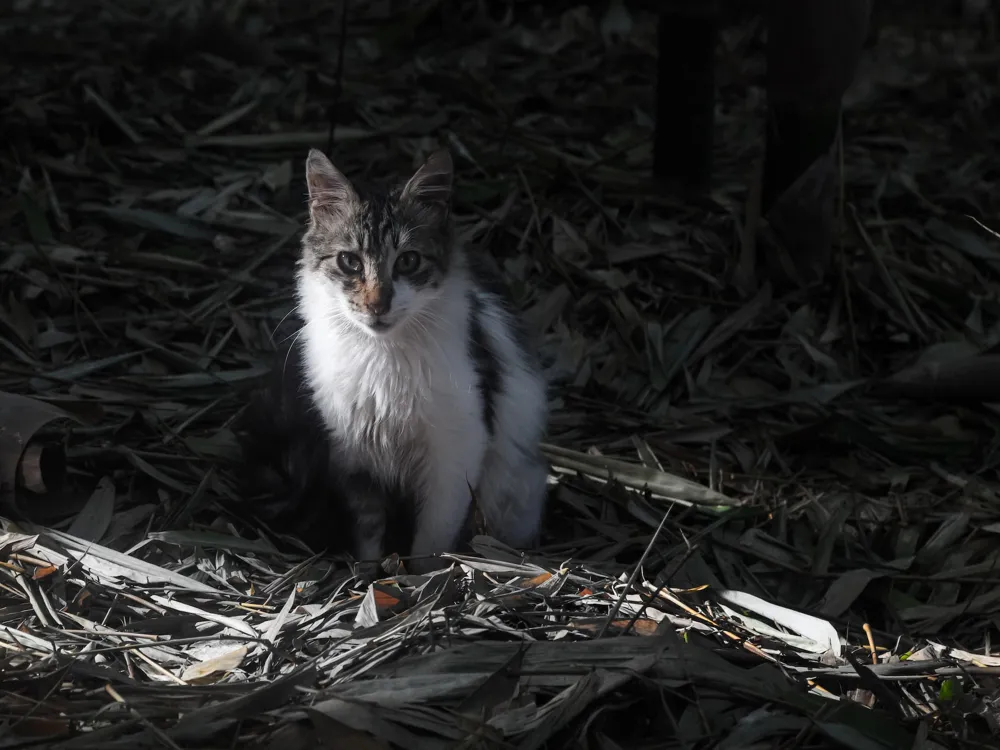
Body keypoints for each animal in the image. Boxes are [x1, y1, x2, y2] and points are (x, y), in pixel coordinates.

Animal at [292, 150, 552, 580]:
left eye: (408, 261)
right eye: (350, 262)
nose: (377, 305)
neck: (383, 356)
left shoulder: (454, 456)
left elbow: (431, 537)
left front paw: (418, 581)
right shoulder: (355, 456)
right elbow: (368, 532)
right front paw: (369, 576)